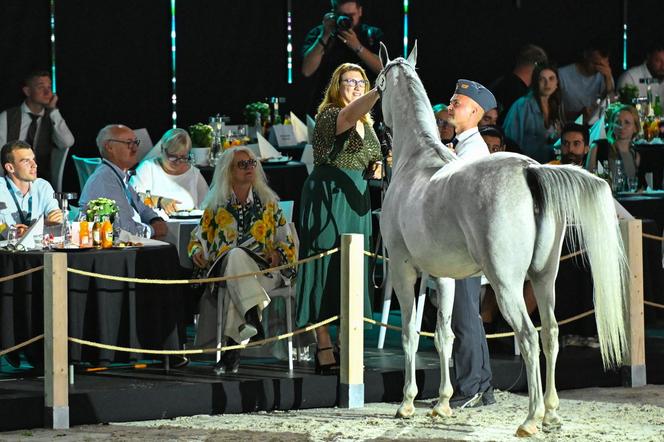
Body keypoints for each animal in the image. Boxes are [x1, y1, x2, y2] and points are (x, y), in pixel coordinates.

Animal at [376, 43, 632, 436]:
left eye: (378, 85)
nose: (378, 125)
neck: (416, 162)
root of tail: (531, 170)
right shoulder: (443, 276)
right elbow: (444, 334)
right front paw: (443, 404)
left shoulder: (404, 271)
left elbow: (409, 333)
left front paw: (407, 403)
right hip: (544, 278)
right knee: (551, 333)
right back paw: (552, 414)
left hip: (506, 285)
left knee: (528, 337)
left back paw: (531, 419)